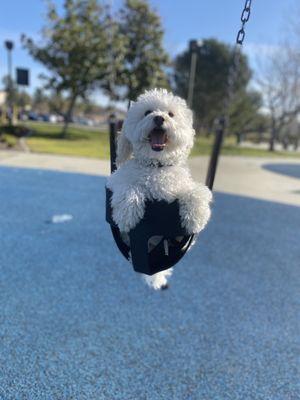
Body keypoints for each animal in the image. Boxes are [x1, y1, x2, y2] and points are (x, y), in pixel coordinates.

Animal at [106, 89, 212, 290]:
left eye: (171, 114)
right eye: (147, 112)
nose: (159, 118)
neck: (156, 167)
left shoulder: (183, 185)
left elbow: (196, 191)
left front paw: (196, 217)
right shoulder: (116, 180)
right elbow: (128, 187)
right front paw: (128, 214)